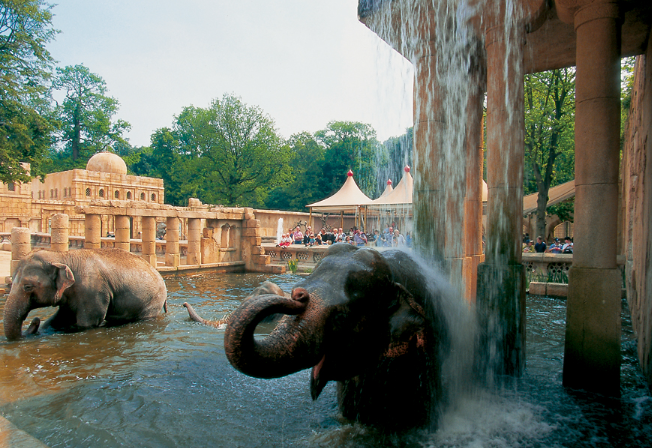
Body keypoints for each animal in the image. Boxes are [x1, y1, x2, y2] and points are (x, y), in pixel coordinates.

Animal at [3, 248, 167, 340]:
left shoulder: (92, 291)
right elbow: (59, 319)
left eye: (27, 287)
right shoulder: (71, 294)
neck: (62, 256)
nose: (35, 320)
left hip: (153, 300)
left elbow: (87, 324)